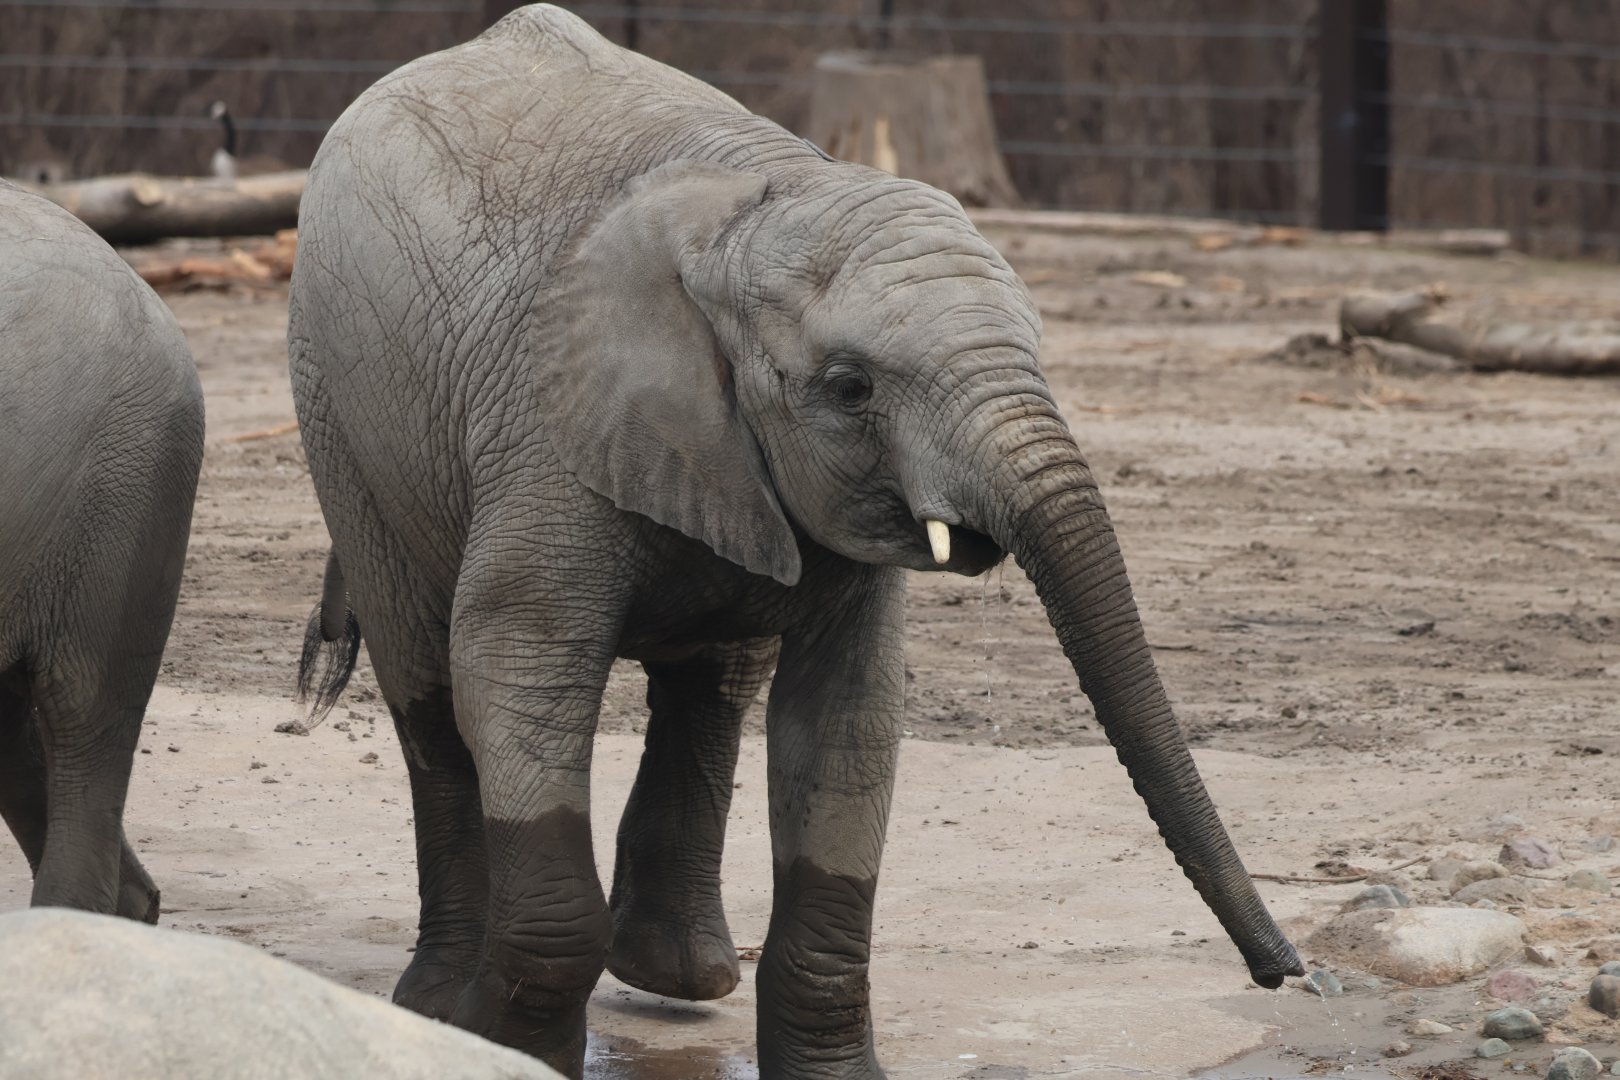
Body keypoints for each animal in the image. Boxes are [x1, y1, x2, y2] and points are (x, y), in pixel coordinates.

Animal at [287, 5, 1302, 1076]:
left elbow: (848, 716)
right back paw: (434, 1002)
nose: (1287, 973)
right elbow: (515, 659)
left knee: (713, 684)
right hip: (338, 412)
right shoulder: (547, 432)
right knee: (425, 681)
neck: (758, 208)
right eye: (851, 388)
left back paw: (684, 980)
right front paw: (496, 1047)